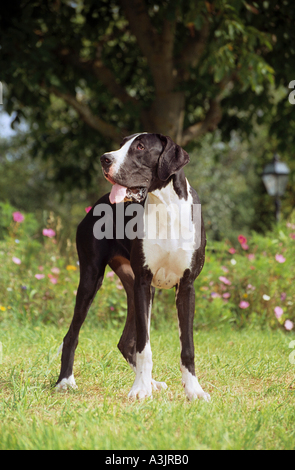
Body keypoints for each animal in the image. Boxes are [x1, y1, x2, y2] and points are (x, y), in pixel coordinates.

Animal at [56, 134, 210, 402]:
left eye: (140, 147)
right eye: (122, 143)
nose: (104, 159)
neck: (165, 207)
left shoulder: (186, 286)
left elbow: (187, 347)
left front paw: (194, 391)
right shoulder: (143, 283)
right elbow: (144, 347)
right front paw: (140, 389)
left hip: (135, 287)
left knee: (125, 342)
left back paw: (153, 382)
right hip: (92, 279)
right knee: (72, 335)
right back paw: (65, 381)